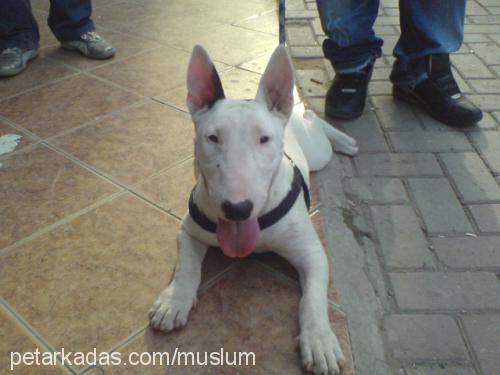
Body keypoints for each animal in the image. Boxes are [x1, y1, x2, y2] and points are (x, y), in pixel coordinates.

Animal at [149, 45, 360, 374]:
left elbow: (312, 300)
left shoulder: (312, 254)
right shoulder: (188, 230)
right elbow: (187, 266)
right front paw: (174, 301)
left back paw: (343, 139)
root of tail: (289, 114)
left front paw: (319, 341)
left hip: (318, 153)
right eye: (212, 138)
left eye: (264, 139)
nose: (237, 209)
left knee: (314, 119)